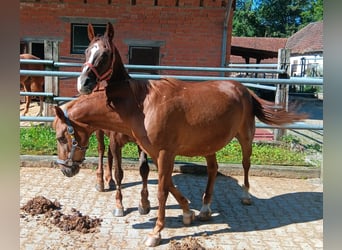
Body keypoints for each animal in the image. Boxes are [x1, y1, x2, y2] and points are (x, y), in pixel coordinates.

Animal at [58, 23, 308, 246]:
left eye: (105, 53)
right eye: (87, 51)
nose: (84, 82)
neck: (142, 104)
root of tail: (244, 89)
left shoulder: (164, 153)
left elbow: (162, 190)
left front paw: (156, 232)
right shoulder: (153, 152)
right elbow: (165, 182)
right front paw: (187, 212)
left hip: (245, 138)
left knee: (246, 164)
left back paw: (245, 196)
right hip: (208, 144)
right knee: (212, 170)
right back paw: (205, 208)